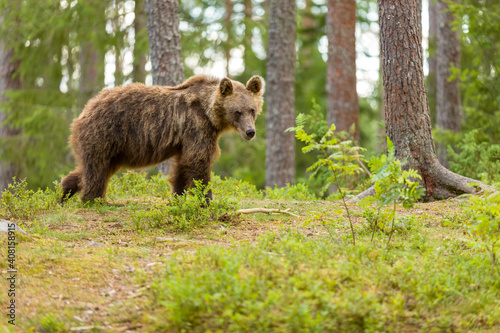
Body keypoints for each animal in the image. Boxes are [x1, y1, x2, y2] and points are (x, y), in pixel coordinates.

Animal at [60, 74, 264, 202]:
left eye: (252, 110)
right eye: (237, 112)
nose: (250, 132)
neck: (210, 114)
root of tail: (86, 108)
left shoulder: (188, 138)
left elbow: (183, 165)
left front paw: (177, 197)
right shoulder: (197, 126)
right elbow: (199, 161)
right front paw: (206, 199)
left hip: (113, 148)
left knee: (92, 168)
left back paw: (64, 193)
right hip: (105, 133)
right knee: (96, 169)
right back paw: (94, 199)